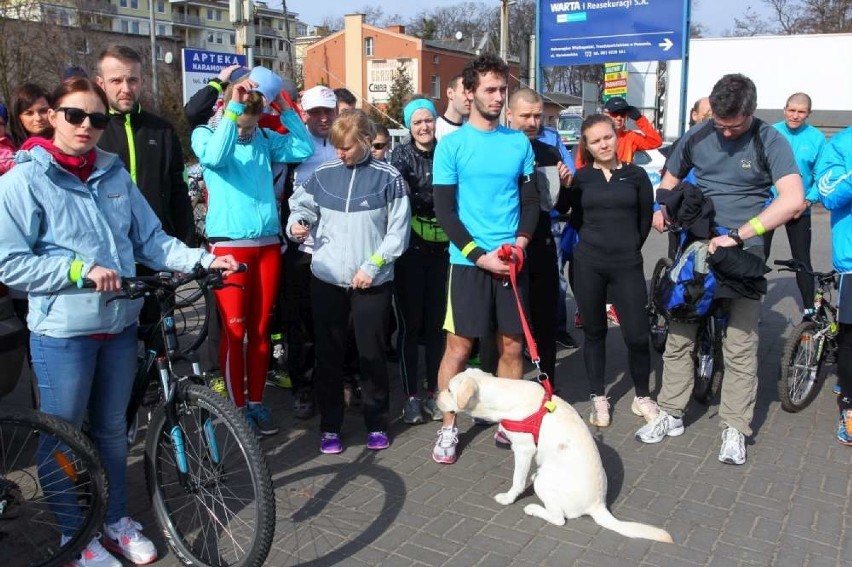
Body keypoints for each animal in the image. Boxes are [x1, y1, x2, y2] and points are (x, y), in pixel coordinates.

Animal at [440, 370, 672, 544]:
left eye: (450, 390)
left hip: (546, 482)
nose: (435, 397)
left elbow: (517, 480)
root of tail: (598, 505)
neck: (504, 395)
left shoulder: (523, 449)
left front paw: (508, 498)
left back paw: (533, 508)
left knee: (559, 518)